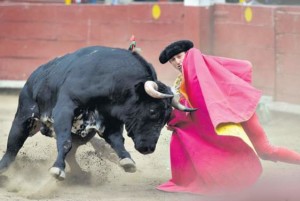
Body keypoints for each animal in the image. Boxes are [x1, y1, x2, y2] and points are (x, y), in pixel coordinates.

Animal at [0, 46, 195, 181]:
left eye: (167, 118)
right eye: (153, 110)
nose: (148, 148)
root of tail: (34, 76)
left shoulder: (110, 120)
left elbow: (117, 141)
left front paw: (127, 161)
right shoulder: (65, 108)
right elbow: (65, 142)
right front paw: (57, 169)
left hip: (84, 134)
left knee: (73, 152)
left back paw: (80, 174)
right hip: (23, 118)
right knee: (12, 147)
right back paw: (4, 171)